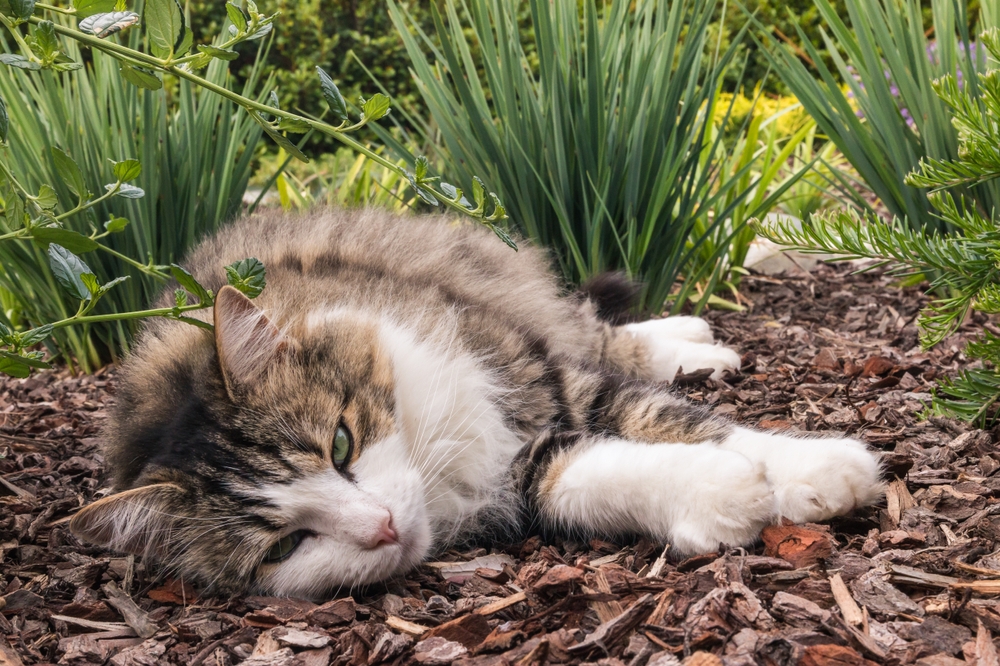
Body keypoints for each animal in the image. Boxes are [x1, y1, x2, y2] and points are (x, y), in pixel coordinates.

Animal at [70, 208, 884, 596]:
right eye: (283, 548)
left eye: (341, 444)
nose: (381, 528)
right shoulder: (529, 466)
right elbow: (601, 471)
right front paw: (722, 495)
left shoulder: (548, 380)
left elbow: (700, 425)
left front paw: (819, 470)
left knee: (602, 333)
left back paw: (697, 341)